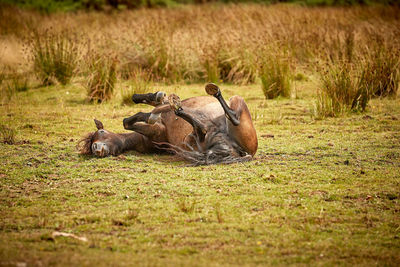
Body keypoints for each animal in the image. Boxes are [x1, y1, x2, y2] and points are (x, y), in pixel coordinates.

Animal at [77, 83, 258, 165]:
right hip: (229, 113)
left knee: (226, 118)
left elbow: (149, 104)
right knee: (209, 126)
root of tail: (245, 153)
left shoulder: (158, 122)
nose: (96, 149)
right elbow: (131, 121)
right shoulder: (158, 128)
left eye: (101, 133)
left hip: (235, 102)